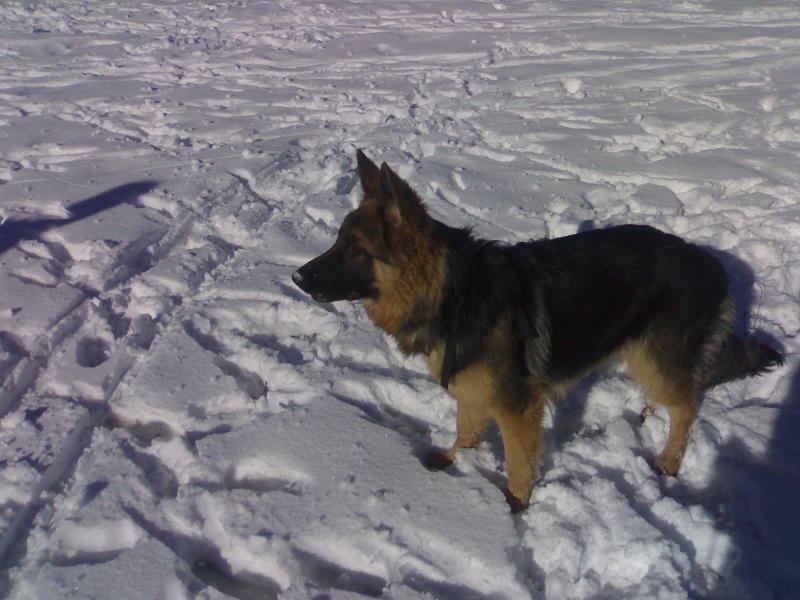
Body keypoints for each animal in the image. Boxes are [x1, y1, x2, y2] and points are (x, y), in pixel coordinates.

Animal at [292, 150, 780, 510]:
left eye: (355, 249)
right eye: (337, 239)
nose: (296, 277)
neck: (455, 292)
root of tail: (713, 264)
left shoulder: (519, 408)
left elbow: (519, 463)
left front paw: (515, 509)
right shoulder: (473, 389)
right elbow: (467, 430)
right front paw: (452, 458)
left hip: (656, 359)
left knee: (688, 405)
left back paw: (668, 461)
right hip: (646, 357)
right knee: (678, 393)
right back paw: (646, 413)